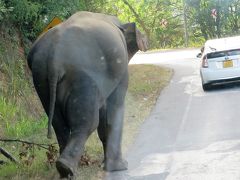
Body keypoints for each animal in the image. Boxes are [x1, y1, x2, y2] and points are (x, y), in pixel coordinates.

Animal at [27, 11, 148, 179]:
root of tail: (53, 57)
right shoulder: (119, 68)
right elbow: (114, 107)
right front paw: (120, 167)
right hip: (83, 76)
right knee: (88, 122)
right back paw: (67, 168)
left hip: (41, 80)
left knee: (59, 124)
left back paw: (65, 171)